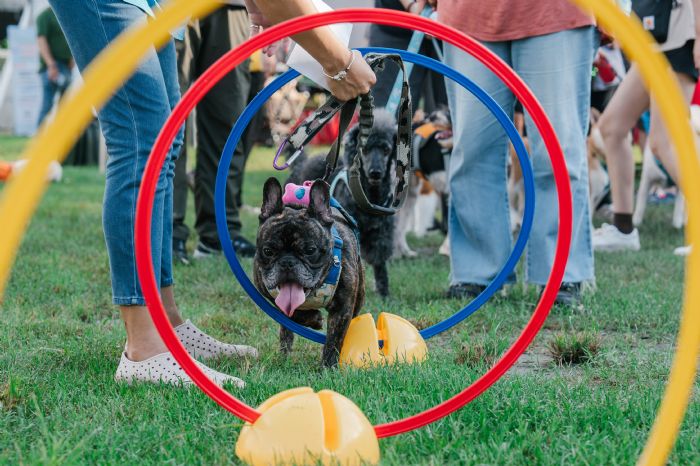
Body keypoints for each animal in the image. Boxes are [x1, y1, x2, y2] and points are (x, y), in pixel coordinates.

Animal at [253, 177, 364, 368]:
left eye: (310, 250)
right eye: (268, 251)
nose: (287, 263)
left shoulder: (343, 309)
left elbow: (334, 340)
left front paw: (328, 367)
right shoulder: (267, 293)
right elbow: (291, 311)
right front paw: (314, 318)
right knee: (286, 330)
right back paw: (284, 354)